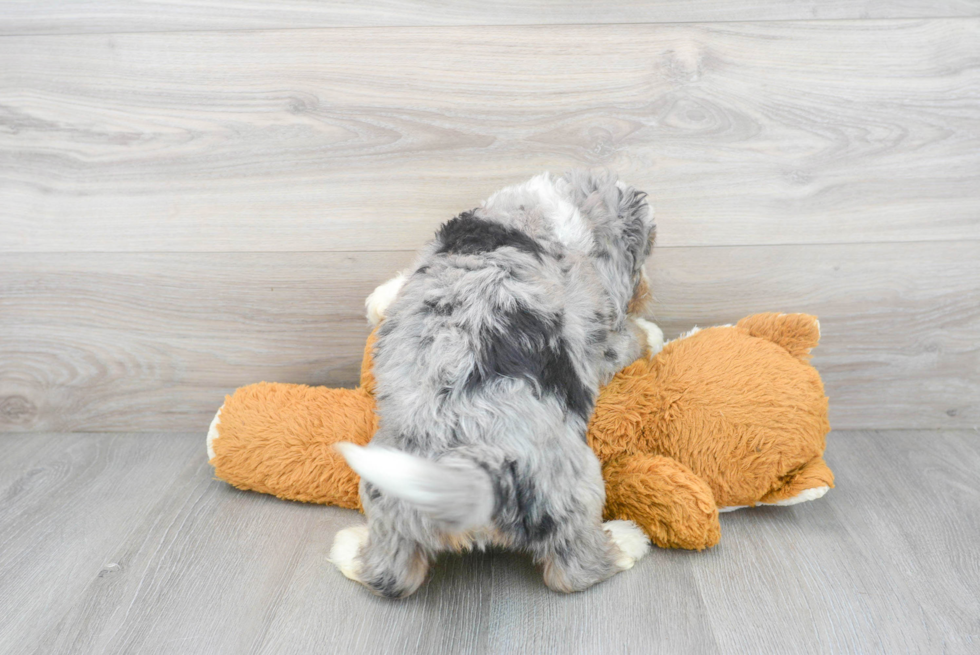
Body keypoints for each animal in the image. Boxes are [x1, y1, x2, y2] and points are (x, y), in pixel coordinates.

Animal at [330, 170, 660, 600]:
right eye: (641, 260)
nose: (646, 290)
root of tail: (473, 473)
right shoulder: (600, 337)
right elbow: (631, 340)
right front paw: (653, 334)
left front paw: (378, 301)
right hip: (575, 486)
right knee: (576, 568)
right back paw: (628, 539)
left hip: (387, 499)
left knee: (389, 574)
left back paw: (346, 547)